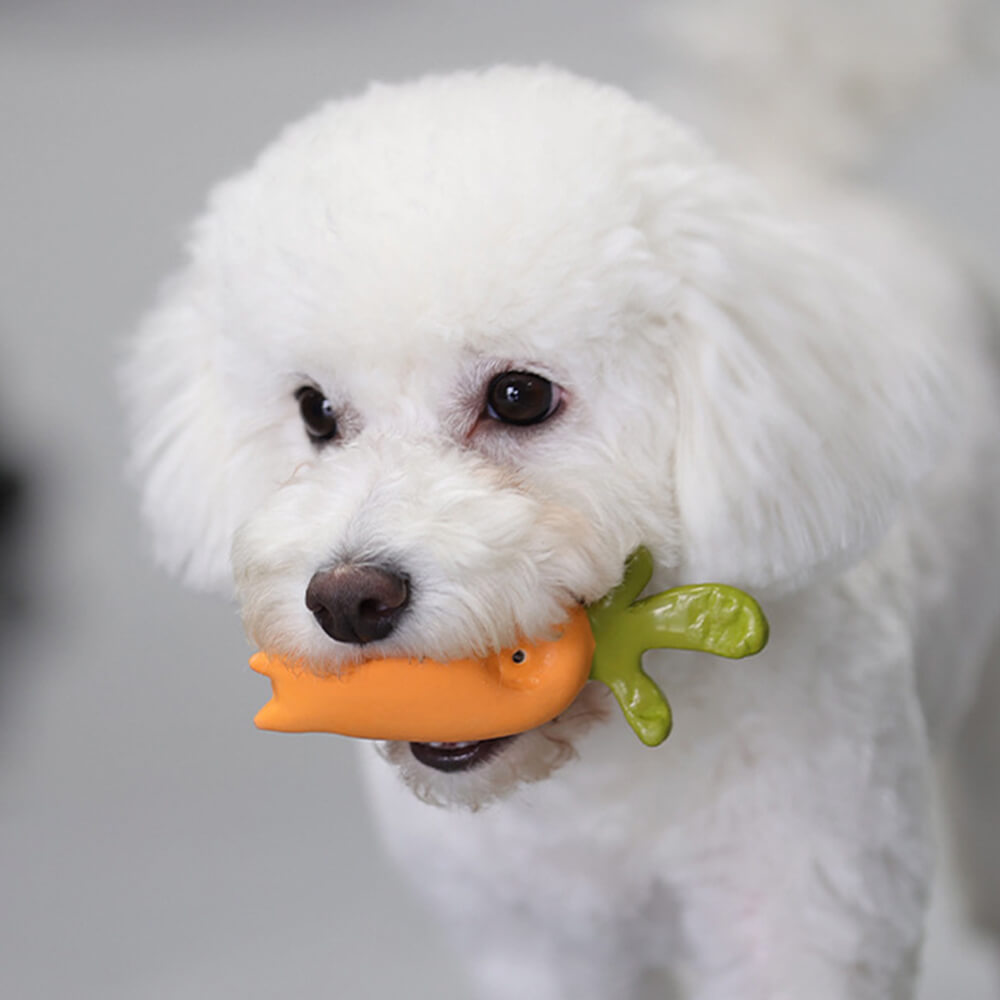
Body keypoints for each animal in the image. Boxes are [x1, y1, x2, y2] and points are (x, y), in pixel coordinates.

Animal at [125, 25, 1000, 1000]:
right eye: (314, 411)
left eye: (519, 395)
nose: (347, 599)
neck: (598, 778)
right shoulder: (535, 940)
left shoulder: (806, 914)